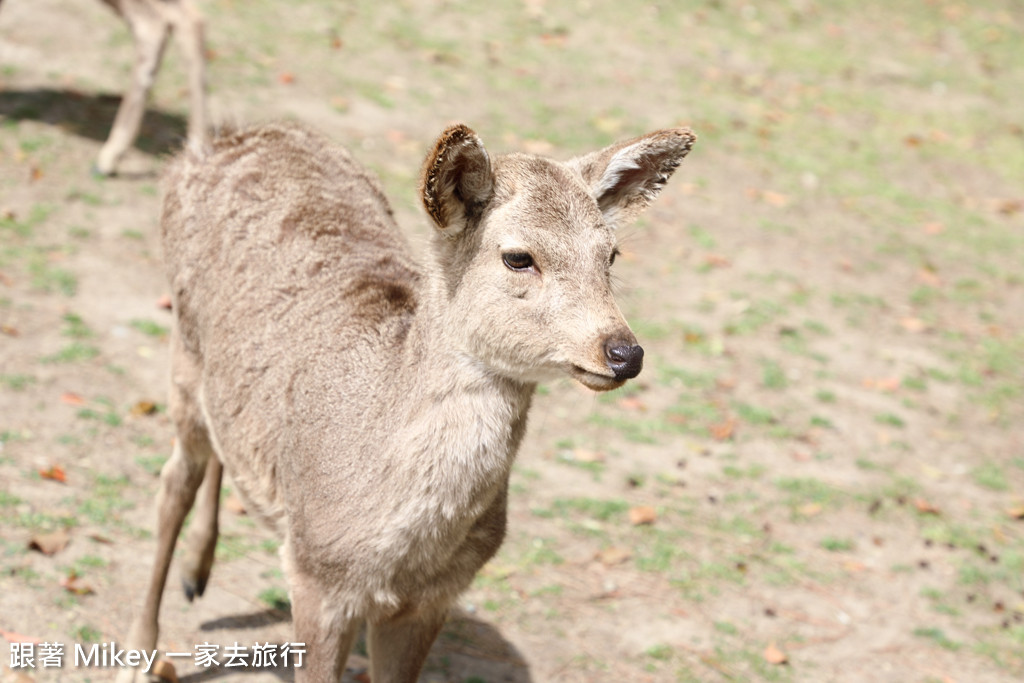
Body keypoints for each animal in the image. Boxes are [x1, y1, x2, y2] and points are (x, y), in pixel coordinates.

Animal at [117, 120, 696, 679]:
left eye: (611, 255)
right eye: (518, 257)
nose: (624, 353)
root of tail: (218, 137)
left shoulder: (435, 598)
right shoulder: (314, 573)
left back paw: (198, 572)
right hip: (183, 347)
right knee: (174, 481)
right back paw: (143, 651)